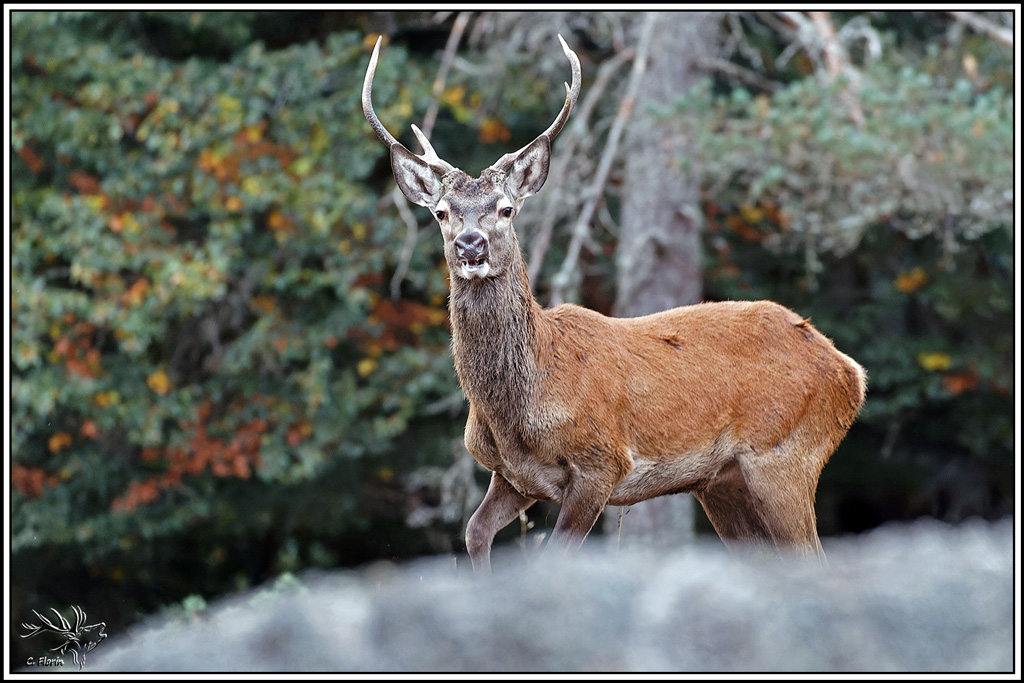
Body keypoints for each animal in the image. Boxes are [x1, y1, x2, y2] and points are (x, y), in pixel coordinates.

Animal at [362, 35, 866, 572]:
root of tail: (850, 372)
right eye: (441, 213)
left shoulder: (601, 463)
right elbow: (475, 533)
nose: (471, 245)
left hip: (785, 454)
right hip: (722, 483)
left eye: (506, 208)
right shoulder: (513, 476)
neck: (522, 405)